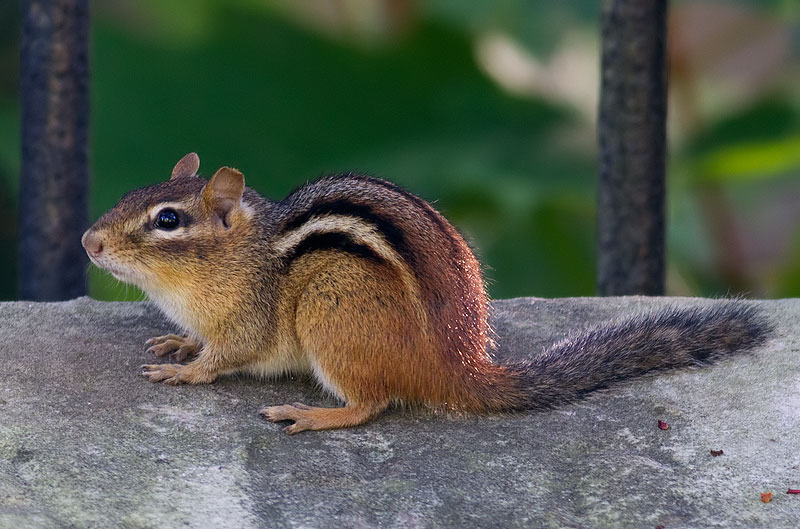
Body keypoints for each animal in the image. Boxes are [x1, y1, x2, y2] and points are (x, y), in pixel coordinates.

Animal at [81, 152, 771, 434]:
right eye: (131, 196)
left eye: (167, 220)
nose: (89, 241)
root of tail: (458, 364)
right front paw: (177, 343)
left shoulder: (250, 318)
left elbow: (227, 356)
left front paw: (186, 371)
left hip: (330, 314)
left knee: (373, 402)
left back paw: (316, 414)